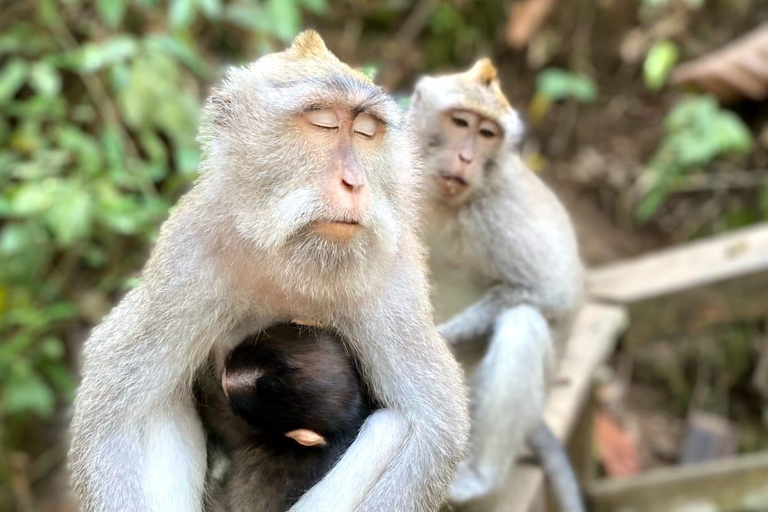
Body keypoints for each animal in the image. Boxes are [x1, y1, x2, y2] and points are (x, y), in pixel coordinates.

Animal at [408, 59, 586, 512]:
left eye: (488, 134)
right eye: (460, 122)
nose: (467, 157)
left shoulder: (501, 209)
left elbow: (552, 289)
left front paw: (438, 338)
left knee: (523, 324)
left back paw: (479, 477)